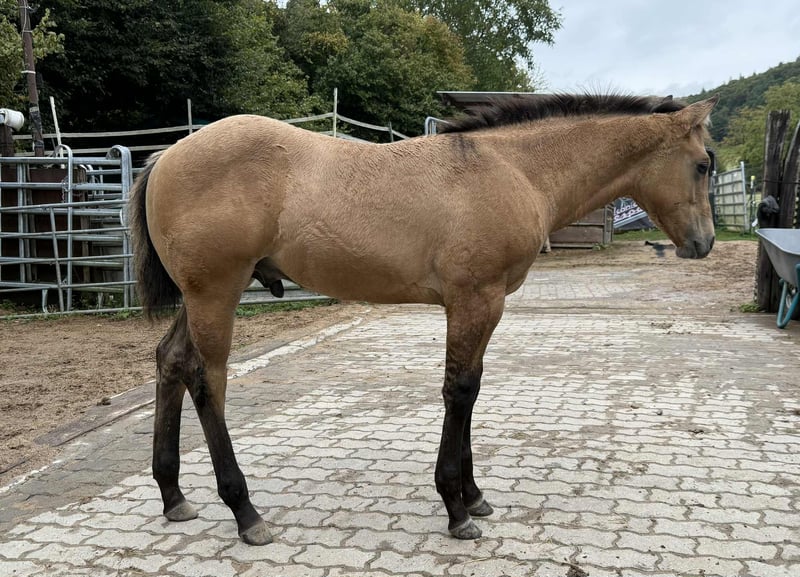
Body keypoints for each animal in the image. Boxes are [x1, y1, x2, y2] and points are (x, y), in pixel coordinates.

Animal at [129, 93, 718, 545]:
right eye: (703, 164)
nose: (704, 244)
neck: (512, 169)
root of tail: (166, 156)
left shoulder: (483, 304)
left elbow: (472, 389)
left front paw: (475, 497)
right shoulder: (475, 300)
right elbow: (459, 391)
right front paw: (456, 509)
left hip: (200, 297)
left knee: (170, 361)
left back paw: (174, 496)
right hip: (215, 292)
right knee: (207, 380)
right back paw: (245, 512)